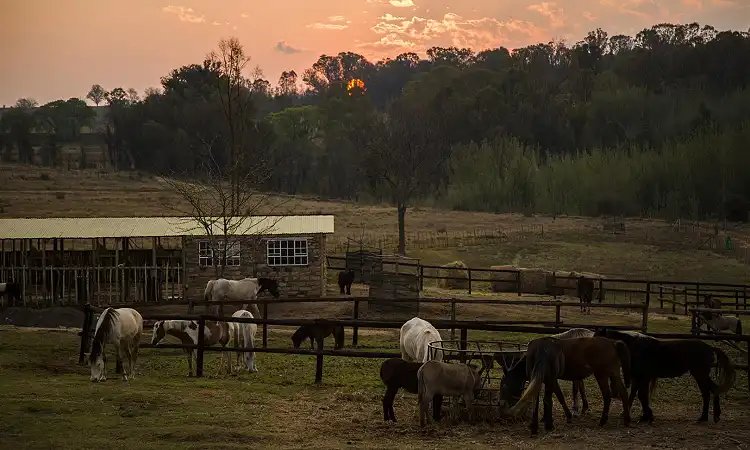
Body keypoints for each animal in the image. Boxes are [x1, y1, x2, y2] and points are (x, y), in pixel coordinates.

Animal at [503, 336, 632, 435]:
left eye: (506, 384)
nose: (503, 403)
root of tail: (612, 343)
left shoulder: (551, 380)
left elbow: (554, 398)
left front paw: (554, 420)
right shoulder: (548, 380)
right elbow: (555, 397)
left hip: (602, 376)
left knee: (607, 396)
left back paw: (603, 421)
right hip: (614, 374)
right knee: (624, 393)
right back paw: (626, 420)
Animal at [594, 327, 736, 424]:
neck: (636, 347)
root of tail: (710, 347)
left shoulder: (644, 377)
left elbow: (641, 395)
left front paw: (647, 417)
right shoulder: (639, 378)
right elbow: (637, 395)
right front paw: (643, 416)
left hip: (700, 375)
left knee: (707, 393)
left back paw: (703, 417)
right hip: (702, 375)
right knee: (714, 389)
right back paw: (714, 416)